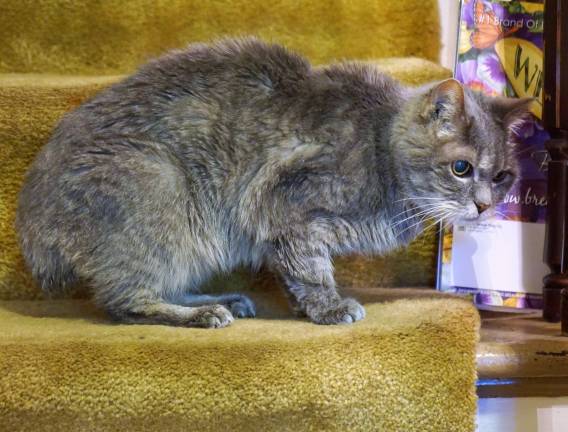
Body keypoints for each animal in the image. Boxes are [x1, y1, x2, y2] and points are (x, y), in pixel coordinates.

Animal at [16, 38, 532, 328]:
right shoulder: (284, 205)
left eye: (502, 175)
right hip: (159, 187)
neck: (380, 146)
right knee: (125, 301)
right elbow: (310, 269)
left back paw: (223, 298)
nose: (484, 205)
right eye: (461, 168)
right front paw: (329, 308)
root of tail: (33, 221)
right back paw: (204, 314)